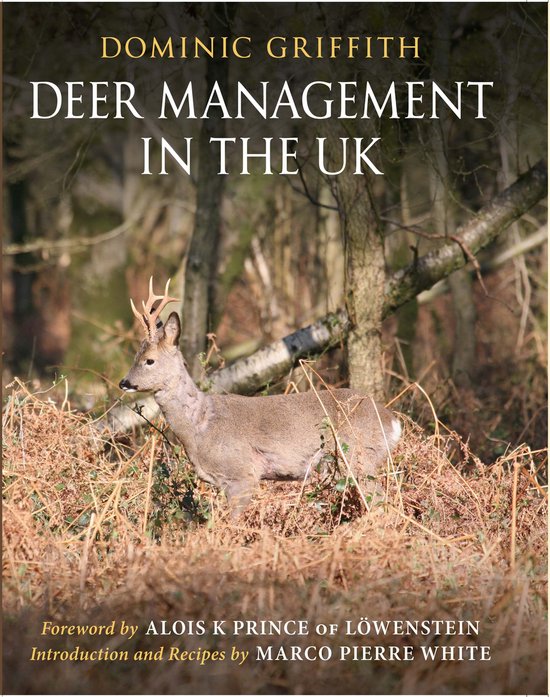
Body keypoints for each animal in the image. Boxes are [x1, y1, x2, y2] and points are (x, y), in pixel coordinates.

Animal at [119, 278, 402, 513]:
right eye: (135, 356)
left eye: (149, 360)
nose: (124, 382)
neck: (201, 426)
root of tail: (392, 420)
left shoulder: (242, 473)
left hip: (359, 456)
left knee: (380, 504)